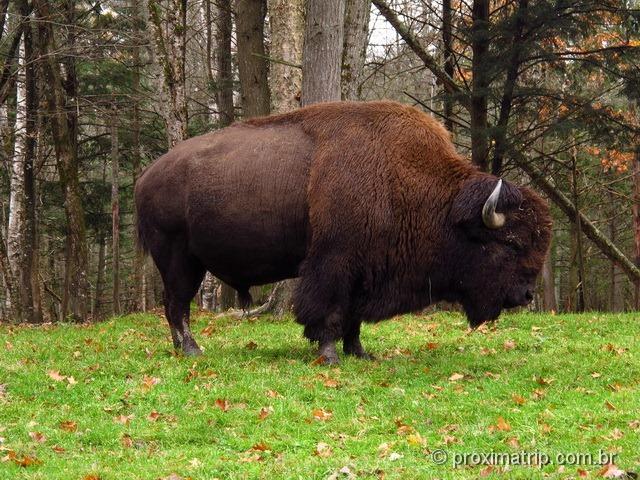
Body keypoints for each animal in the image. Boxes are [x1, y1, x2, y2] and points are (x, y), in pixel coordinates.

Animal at [134, 101, 552, 364]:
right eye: (511, 243)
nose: (526, 295)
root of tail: (146, 177)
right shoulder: (333, 264)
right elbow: (328, 312)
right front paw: (330, 355)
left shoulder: (366, 270)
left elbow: (354, 317)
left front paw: (361, 352)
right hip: (179, 260)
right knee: (176, 305)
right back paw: (192, 350)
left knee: (174, 306)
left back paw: (184, 349)